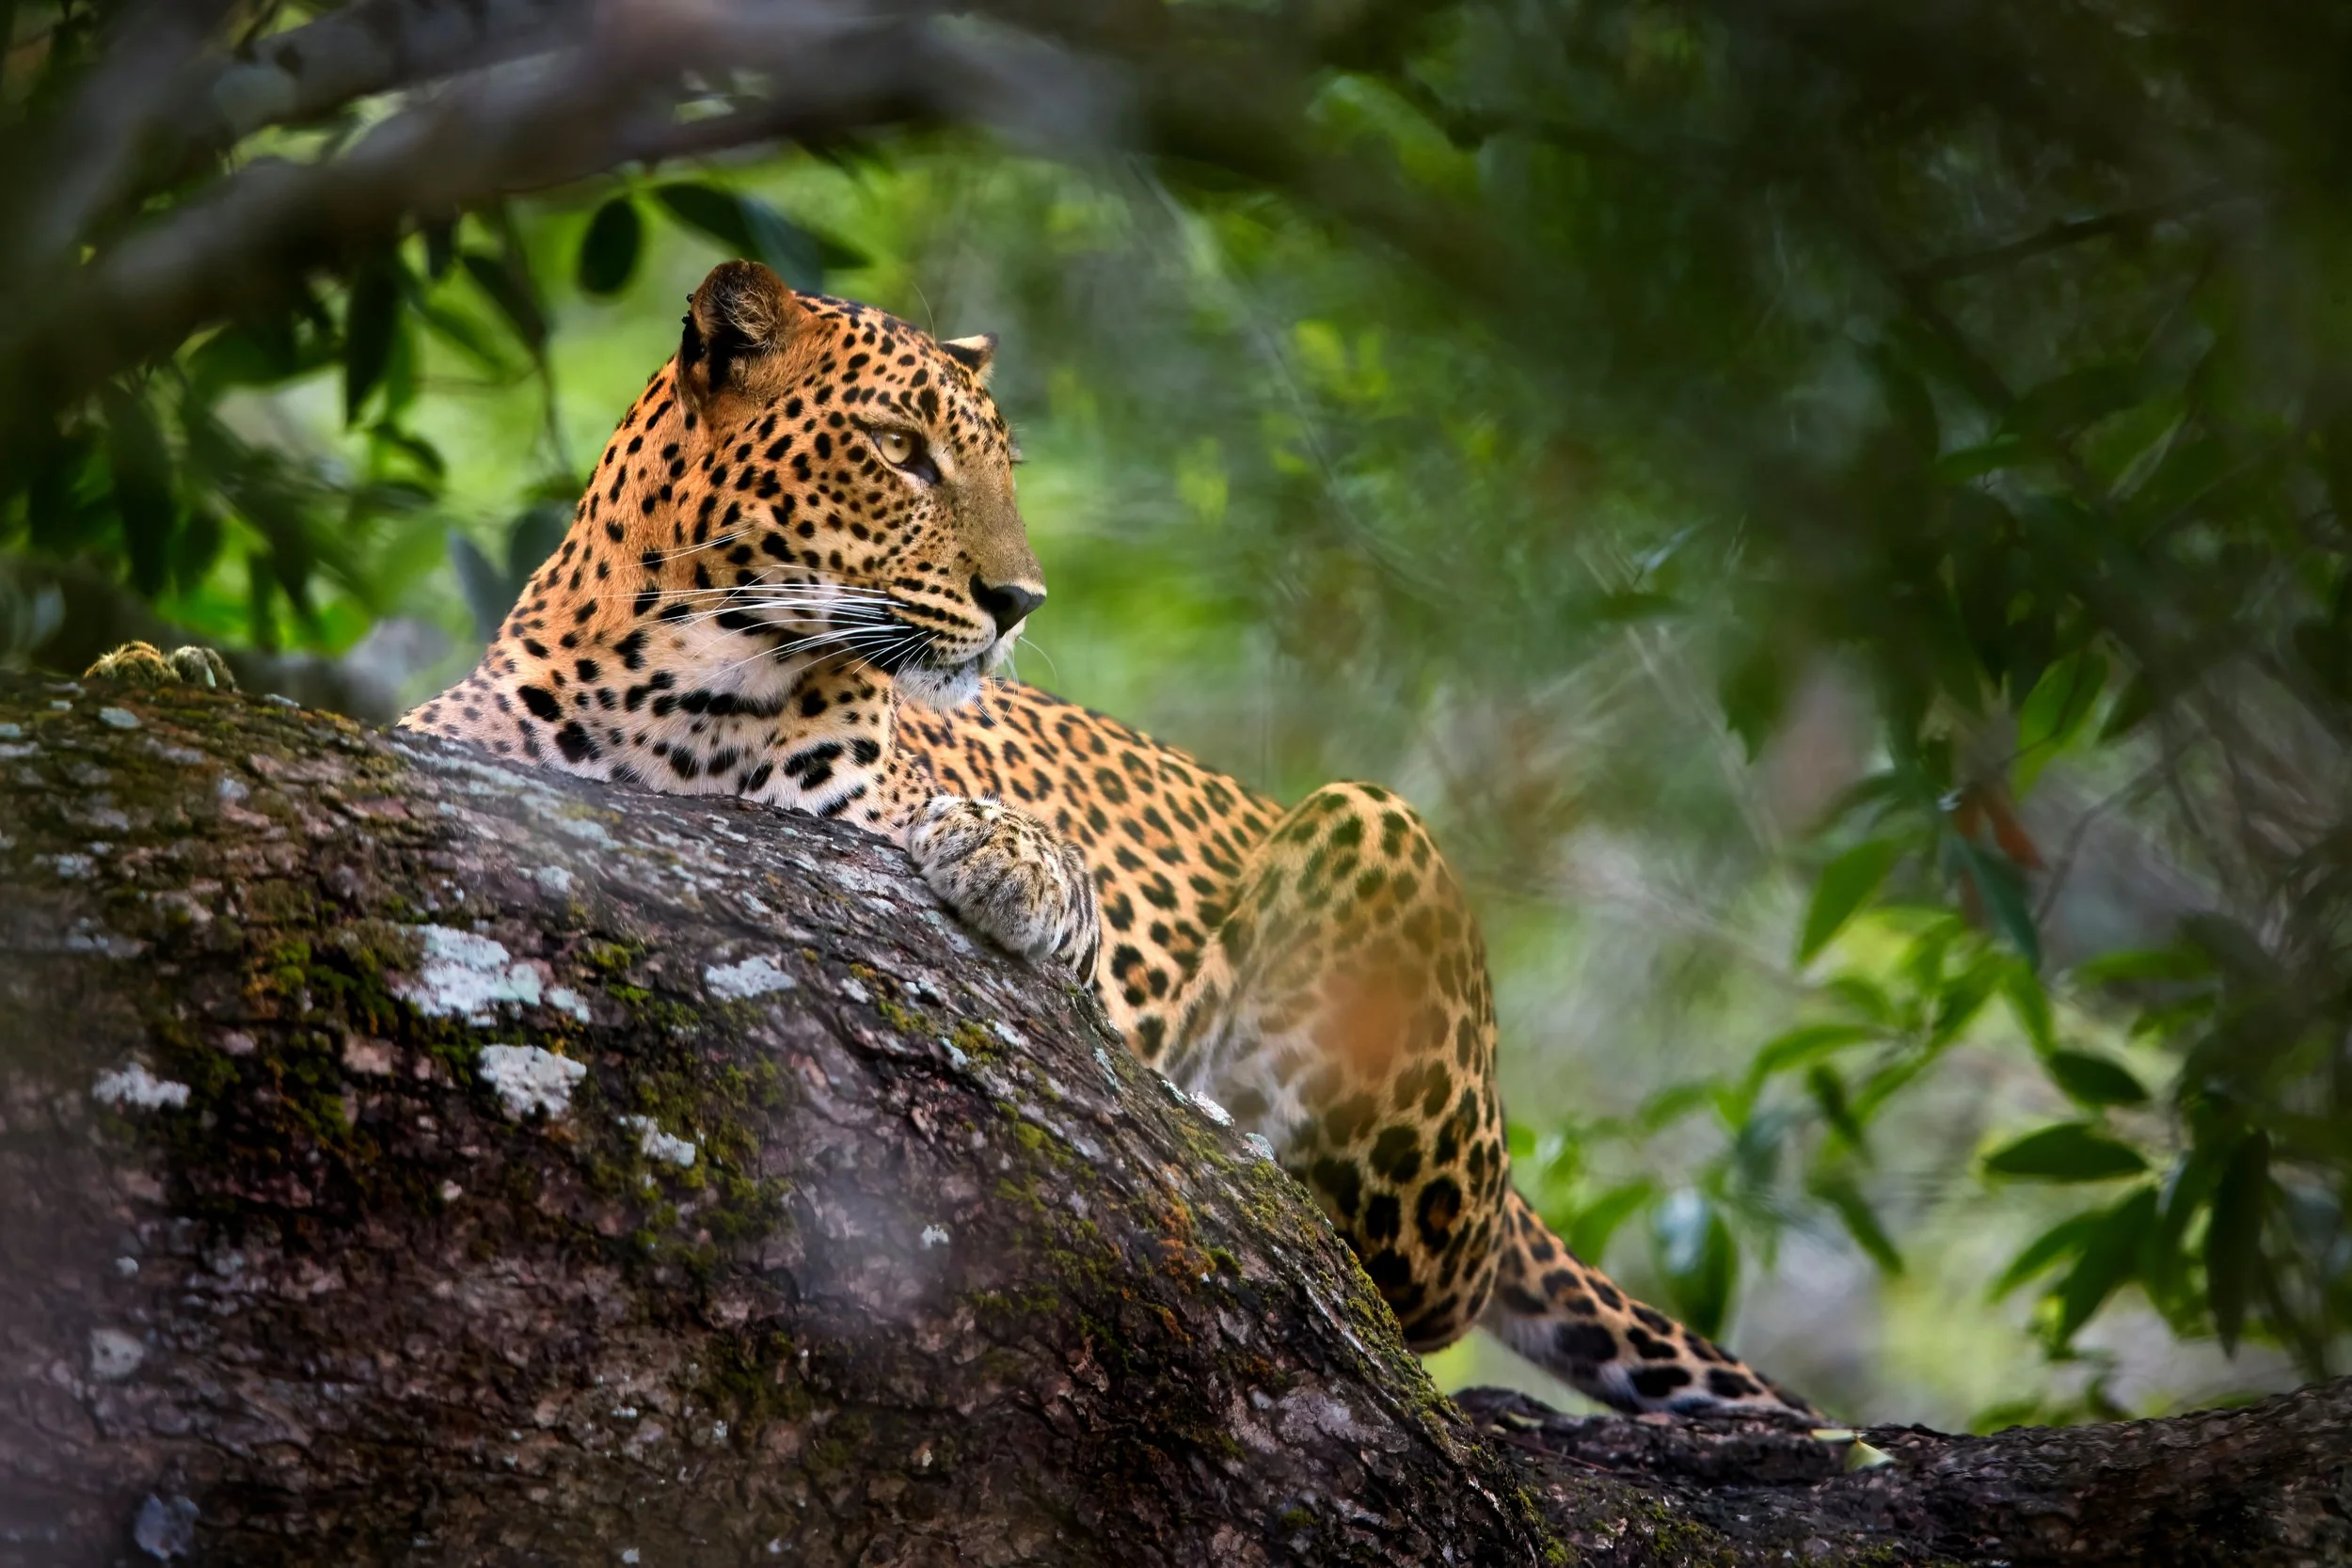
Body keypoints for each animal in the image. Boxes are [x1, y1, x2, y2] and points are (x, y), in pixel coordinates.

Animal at [99, 259, 1816, 1420]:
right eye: (905, 450)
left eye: (994, 463)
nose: (1021, 602)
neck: (674, 668)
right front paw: (156, 665)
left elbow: (963, 831)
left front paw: (1009, 862)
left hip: (1372, 835)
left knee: (1409, 1282)